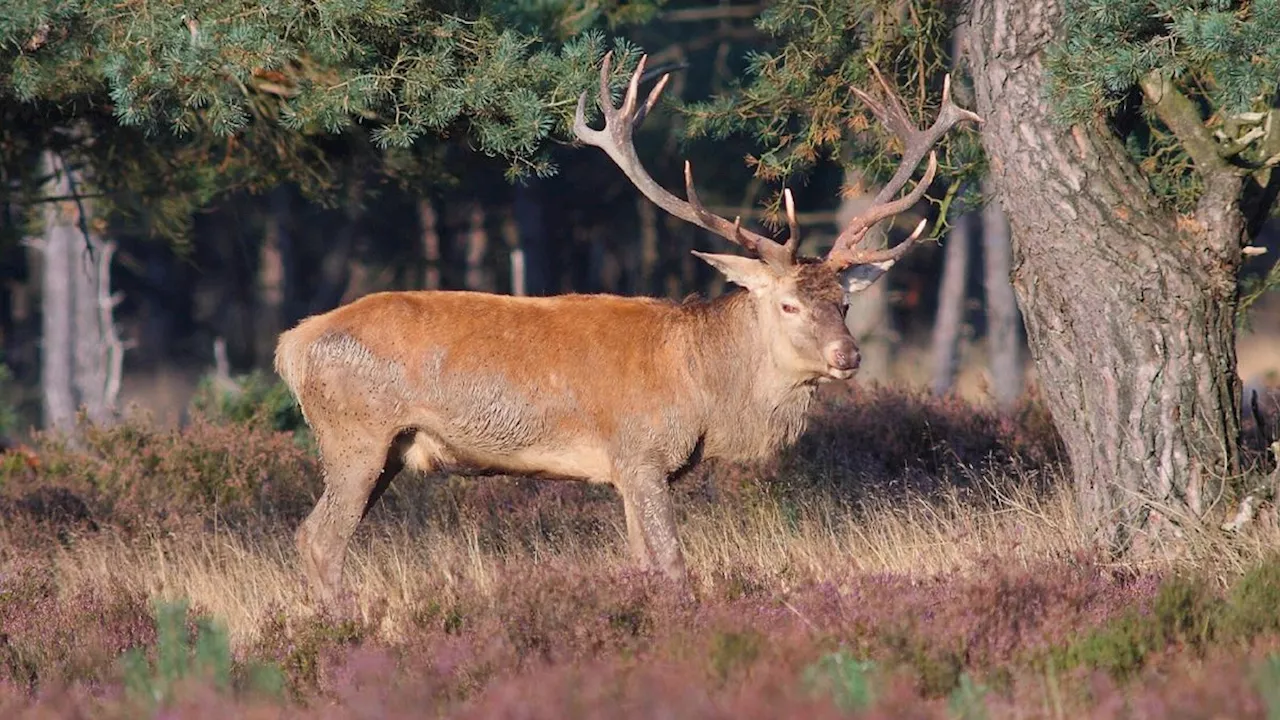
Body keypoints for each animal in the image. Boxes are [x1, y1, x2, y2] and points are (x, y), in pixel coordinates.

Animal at [275, 53, 983, 607]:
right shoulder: (639, 451)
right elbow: (671, 564)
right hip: (355, 435)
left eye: (843, 302)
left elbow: (642, 561)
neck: (702, 389)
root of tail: (292, 344)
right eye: (786, 304)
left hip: (388, 450)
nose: (848, 355)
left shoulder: (637, 468)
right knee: (317, 538)